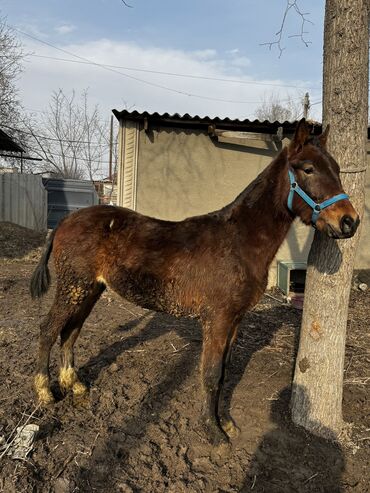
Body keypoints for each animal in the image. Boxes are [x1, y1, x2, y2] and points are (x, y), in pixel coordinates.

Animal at [31, 120, 358, 446]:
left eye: (337, 168)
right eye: (308, 169)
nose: (349, 221)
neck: (238, 241)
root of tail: (65, 222)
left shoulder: (234, 320)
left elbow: (224, 372)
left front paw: (226, 423)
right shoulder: (217, 319)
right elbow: (210, 374)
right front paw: (213, 432)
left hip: (90, 289)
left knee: (70, 331)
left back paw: (75, 386)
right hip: (73, 287)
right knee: (49, 329)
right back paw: (45, 392)